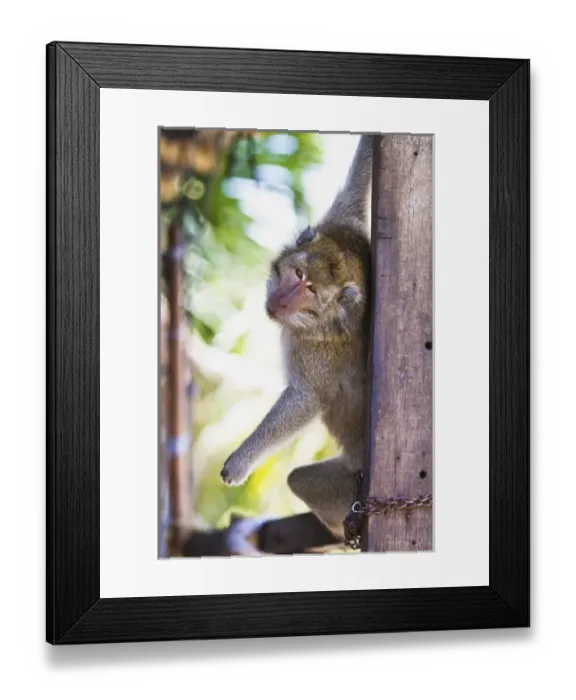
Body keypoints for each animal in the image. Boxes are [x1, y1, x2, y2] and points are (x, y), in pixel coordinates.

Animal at [220, 134, 374, 539]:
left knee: (299, 481)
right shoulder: (341, 223)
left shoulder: (311, 349)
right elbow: (358, 182)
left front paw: (240, 461)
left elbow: (307, 398)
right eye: (298, 275)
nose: (283, 300)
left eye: (311, 293)